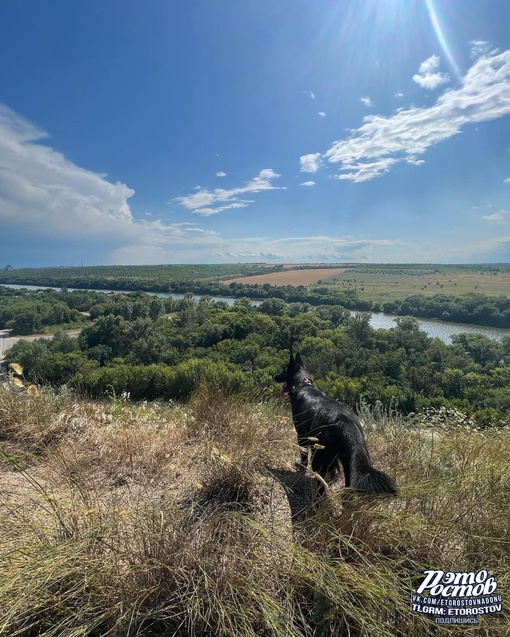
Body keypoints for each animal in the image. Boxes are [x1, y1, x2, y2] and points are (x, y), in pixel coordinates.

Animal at [274, 352, 398, 496]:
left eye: (284, 369)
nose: (275, 376)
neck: (302, 384)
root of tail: (346, 423)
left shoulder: (301, 436)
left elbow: (304, 457)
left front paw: (301, 470)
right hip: (348, 464)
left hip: (319, 459)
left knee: (321, 487)